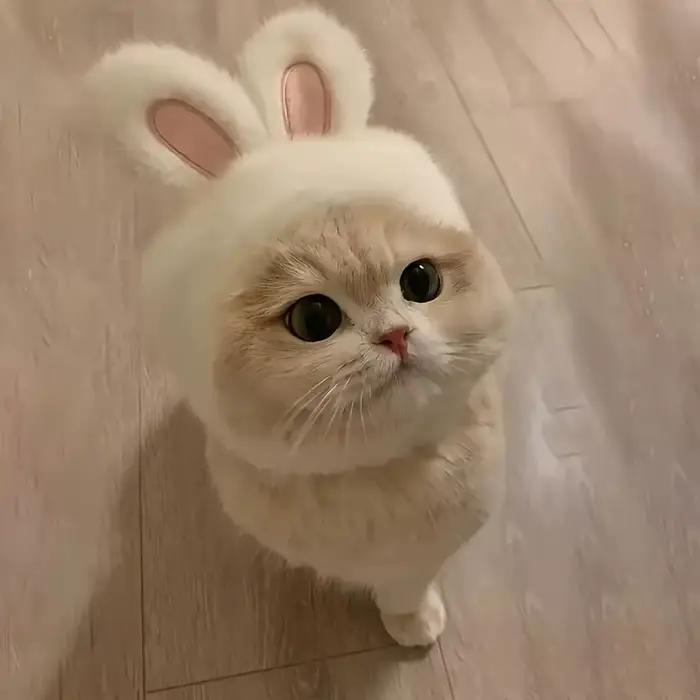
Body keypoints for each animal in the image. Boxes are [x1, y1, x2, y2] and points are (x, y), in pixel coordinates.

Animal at [84, 7, 513, 647]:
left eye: (421, 283)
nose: (396, 335)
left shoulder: (427, 550)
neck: (382, 473)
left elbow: (408, 588)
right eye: (314, 320)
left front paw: (412, 621)